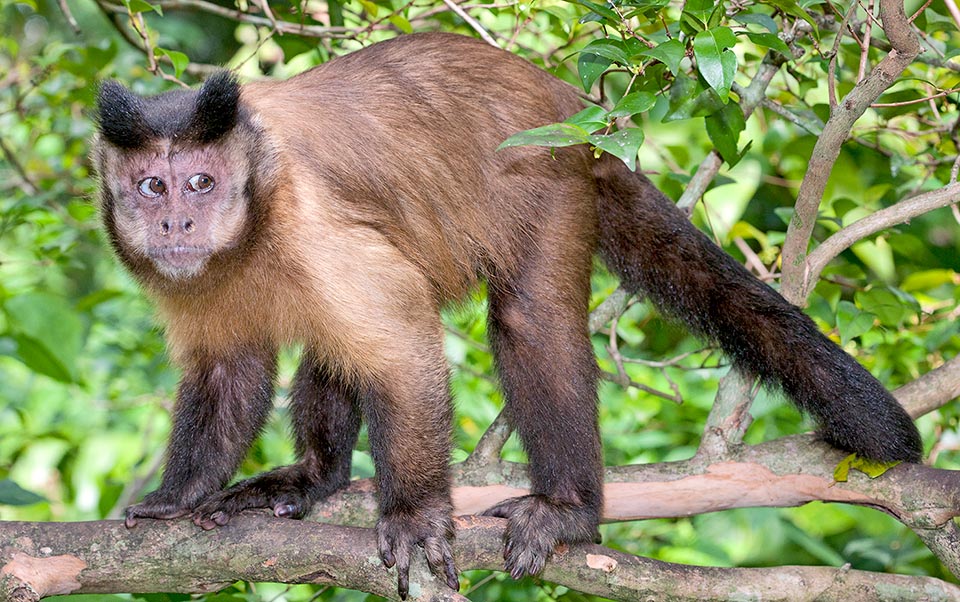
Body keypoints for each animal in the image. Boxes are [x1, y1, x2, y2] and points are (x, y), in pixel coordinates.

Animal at [95, 31, 924, 596]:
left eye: (200, 182)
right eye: (151, 186)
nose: (175, 222)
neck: (255, 213)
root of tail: (568, 101)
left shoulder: (311, 221)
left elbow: (403, 347)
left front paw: (415, 514)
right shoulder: (191, 278)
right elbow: (229, 370)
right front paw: (178, 499)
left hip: (549, 176)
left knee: (529, 321)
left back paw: (568, 509)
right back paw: (315, 478)